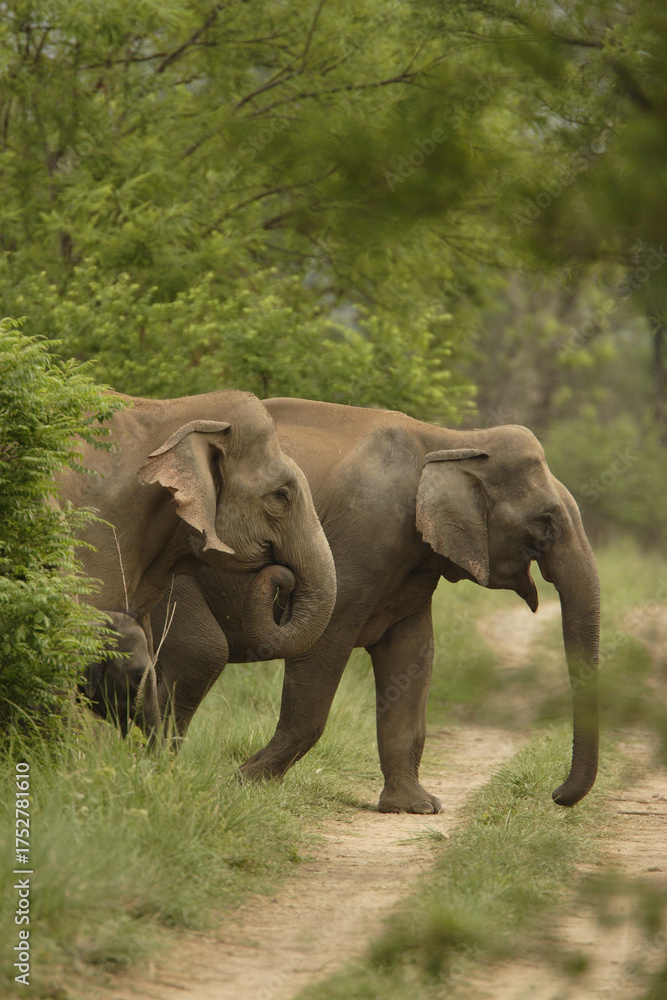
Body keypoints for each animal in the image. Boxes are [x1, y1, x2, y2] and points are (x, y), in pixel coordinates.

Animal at [150, 398, 600, 812]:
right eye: (544, 523)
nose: (555, 794)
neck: (451, 440)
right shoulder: (361, 539)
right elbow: (324, 647)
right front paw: (242, 782)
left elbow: (411, 655)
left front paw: (415, 806)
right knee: (202, 652)